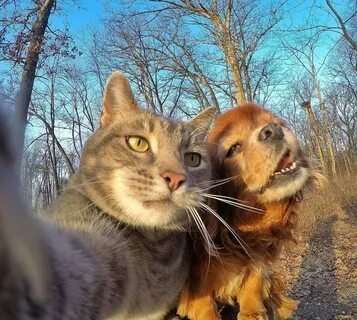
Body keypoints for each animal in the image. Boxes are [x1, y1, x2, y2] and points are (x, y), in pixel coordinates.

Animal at [177, 104, 322, 320]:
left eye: (278, 122)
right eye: (234, 148)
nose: (274, 129)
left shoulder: (258, 257)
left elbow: (254, 283)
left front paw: (253, 312)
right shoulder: (196, 277)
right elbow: (205, 305)